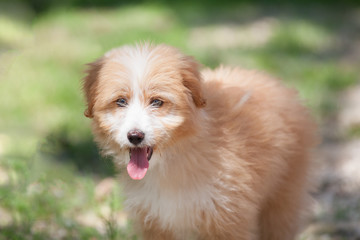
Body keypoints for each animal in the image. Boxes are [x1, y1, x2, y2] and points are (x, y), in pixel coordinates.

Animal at [83, 43, 316, 240]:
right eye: (120, 101)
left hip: (283, 195)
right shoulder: (156, 221)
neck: (174, 159)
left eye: (157, 102)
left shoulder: (227, 218)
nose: (135, 136)